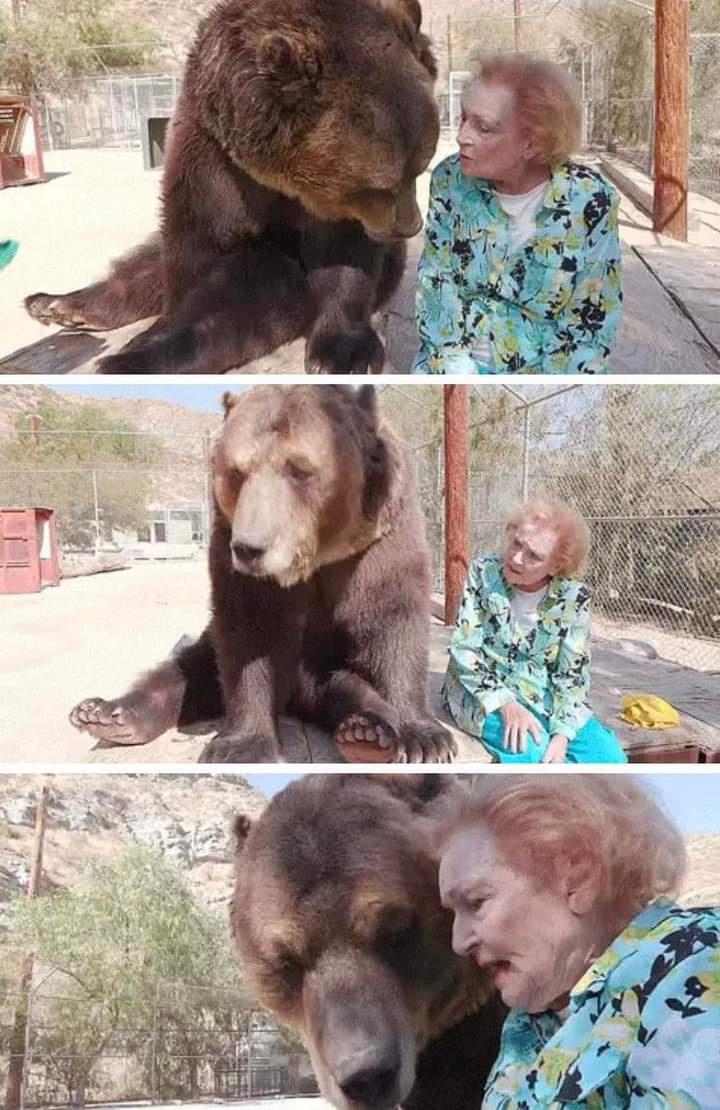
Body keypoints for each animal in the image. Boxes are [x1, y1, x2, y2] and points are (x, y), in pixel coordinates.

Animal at [25, 0, 439, 376]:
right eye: (381, 187)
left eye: (420, 167)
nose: (409, 226)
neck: (278, 178)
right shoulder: (211, 157)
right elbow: (203, 258)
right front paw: (144, 350)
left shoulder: (327, 210)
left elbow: (343, 258)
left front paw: (342, 353)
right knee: (146, 266)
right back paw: (57, 305)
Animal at [70, 385, 456, 764]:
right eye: (237, 472)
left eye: (300, 469)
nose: (250, 547)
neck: (316, 557)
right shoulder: (236, 558)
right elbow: (250, 634)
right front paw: (241, 746)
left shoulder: (379, 544)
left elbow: (394, 625)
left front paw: (425, 739)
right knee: (188, 670)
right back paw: (107, 714)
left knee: (345, 685)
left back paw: (367, 732)